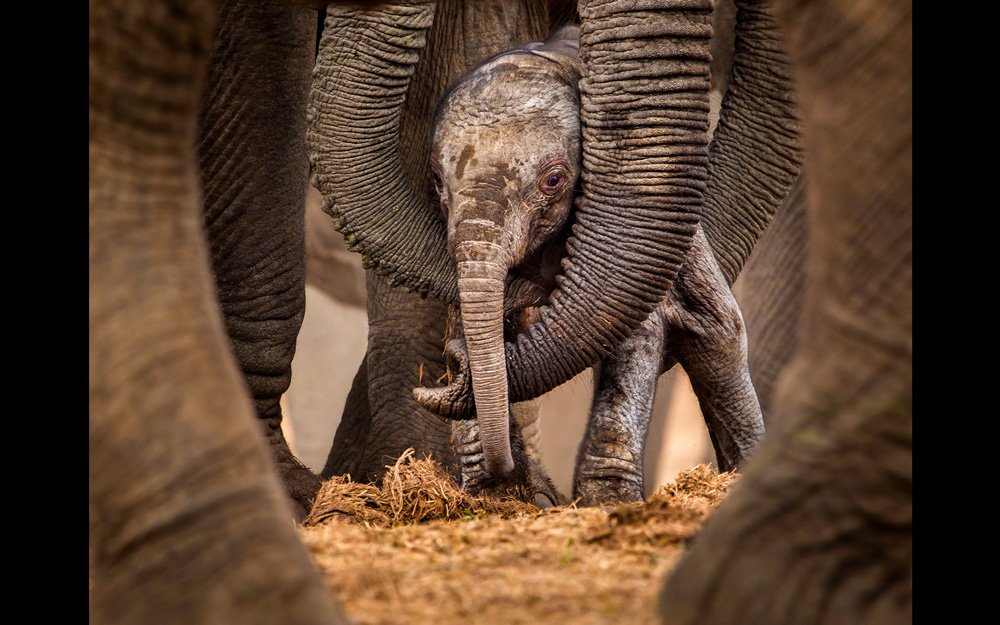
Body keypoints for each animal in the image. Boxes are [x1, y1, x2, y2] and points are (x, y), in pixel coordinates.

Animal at [414, 24, 764, 504]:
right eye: (435, 179)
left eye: (554, 180)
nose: (444, 369)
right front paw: (496, 496)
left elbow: (636, 326)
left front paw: (607, 502)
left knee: (718, 331)